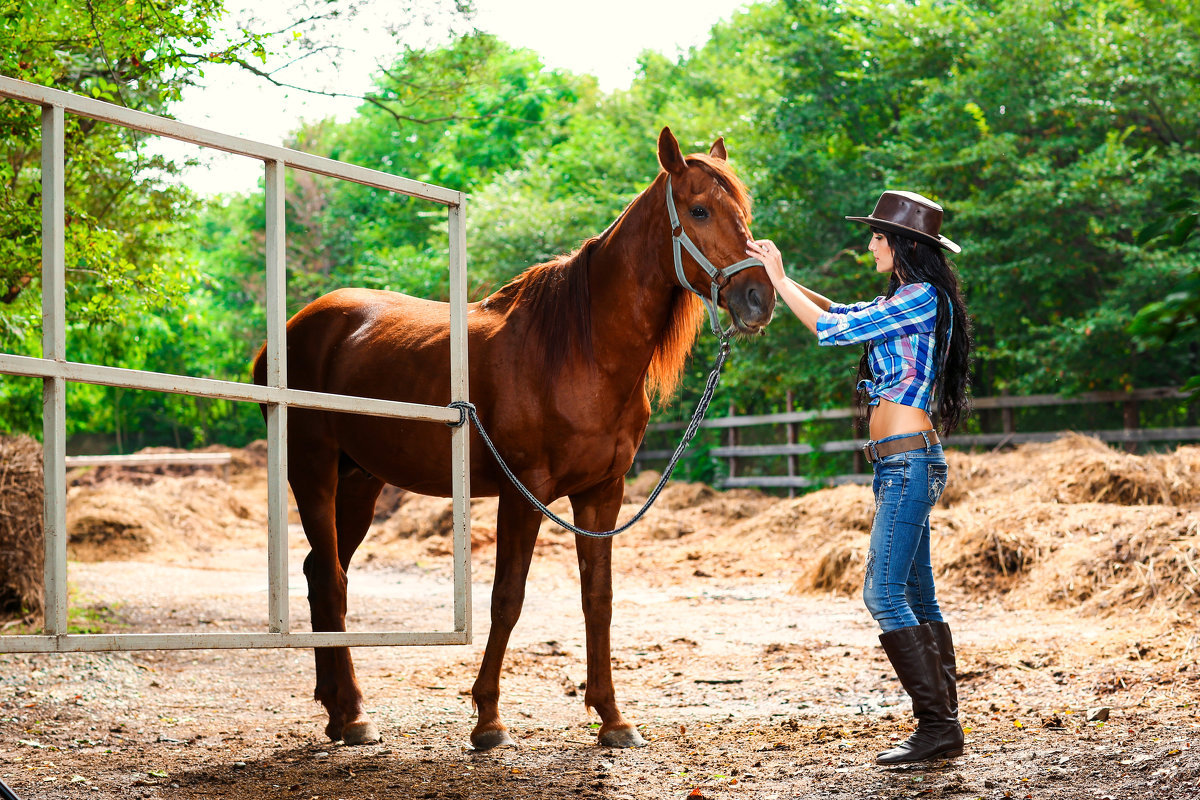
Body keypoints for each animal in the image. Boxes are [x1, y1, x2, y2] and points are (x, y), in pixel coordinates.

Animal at [254, 126, 777, 753]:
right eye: (699, 210)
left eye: (743, 211)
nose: (760, 298)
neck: (579, 350)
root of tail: (294, 329)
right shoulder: (522, 492)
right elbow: (507, 598)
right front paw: (488, 719)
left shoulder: (602, 494)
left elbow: (597, 600)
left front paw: (612, 717)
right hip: (313, 474)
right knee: (330, 579)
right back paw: (354, 712)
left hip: (360, 483)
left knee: (322, 574)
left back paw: (339, 711)